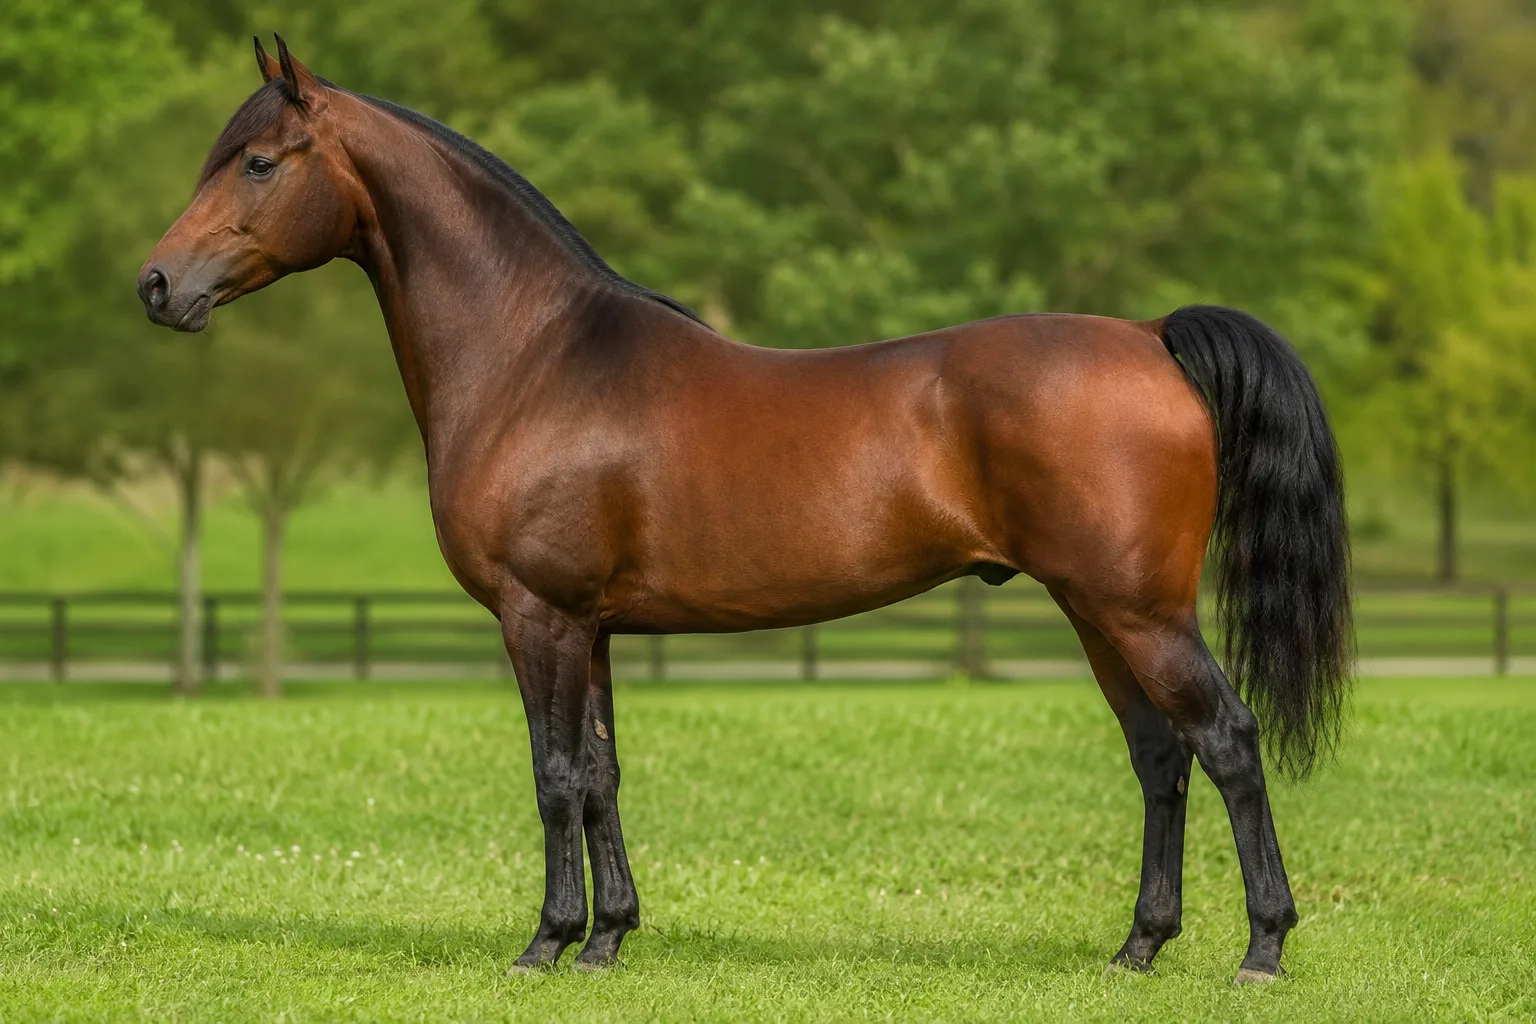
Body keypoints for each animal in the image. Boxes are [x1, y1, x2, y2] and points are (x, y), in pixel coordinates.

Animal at [138, 37, 1352, 983]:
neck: (536, 357)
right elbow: (603, 774)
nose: (156, 285)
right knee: (1160, 756)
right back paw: (1139, 947)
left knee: (1226, 740)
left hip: (1140, 611)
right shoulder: (592, 626)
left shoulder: (538, 615)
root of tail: (1148, 337)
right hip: (1098, 611)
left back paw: (1261, 948)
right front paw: (610, 940)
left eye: (258, 161)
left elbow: (554, 777)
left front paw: (546, 942)